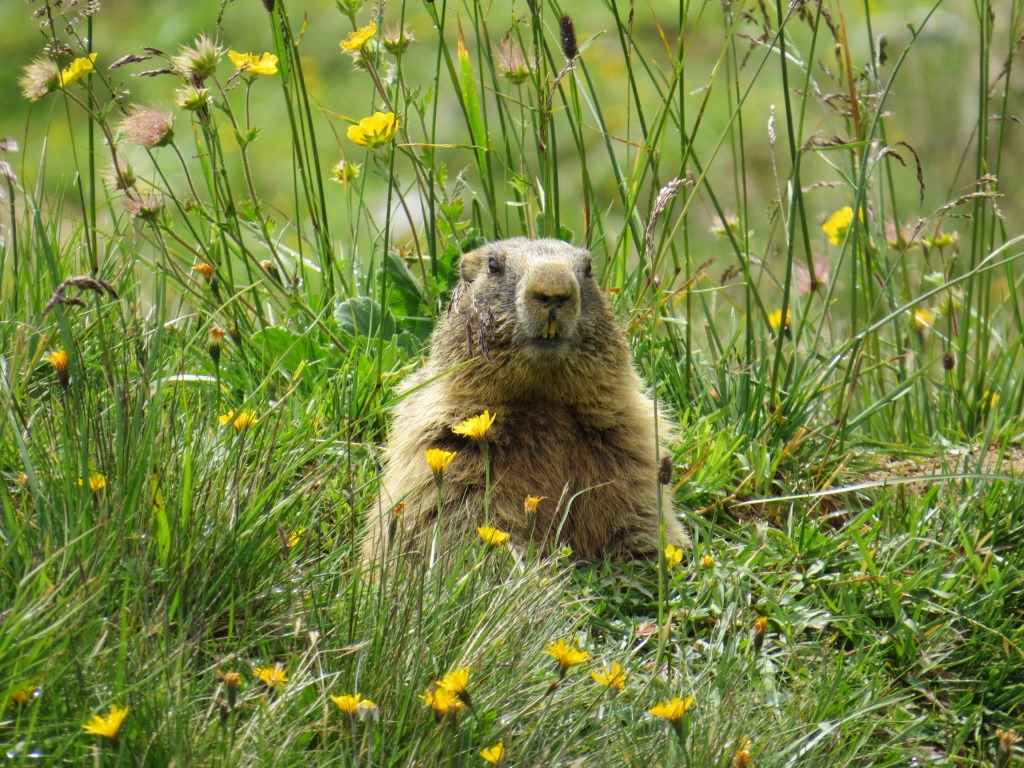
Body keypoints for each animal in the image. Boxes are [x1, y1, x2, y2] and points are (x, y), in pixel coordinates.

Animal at [362, 238, 690, 564]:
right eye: (493, 265)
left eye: (588, 268)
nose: (553, 290)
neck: (541, 402)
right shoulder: (444, 449)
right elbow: (457, 516)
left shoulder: (631, 447)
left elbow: (637, 512)